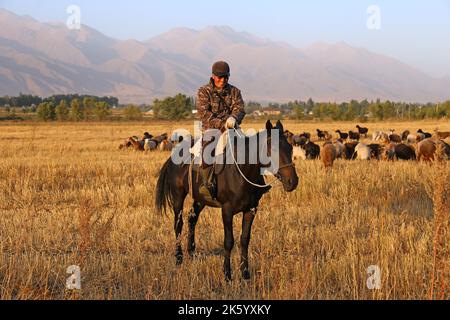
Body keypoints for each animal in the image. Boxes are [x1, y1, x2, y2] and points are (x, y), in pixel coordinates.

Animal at [155, 120, 298, 280]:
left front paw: (245, 273)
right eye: (272, 148)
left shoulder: (251, 210)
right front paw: (227, 274)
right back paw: (179, 258)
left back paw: (191, 253)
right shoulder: (227, 211)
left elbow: (245, 239)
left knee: (192, 219)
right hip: (178, 196)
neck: (242, 172)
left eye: (290, 148)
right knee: (178, 224)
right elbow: (229, 241)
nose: (292, 182)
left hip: (200, 200)